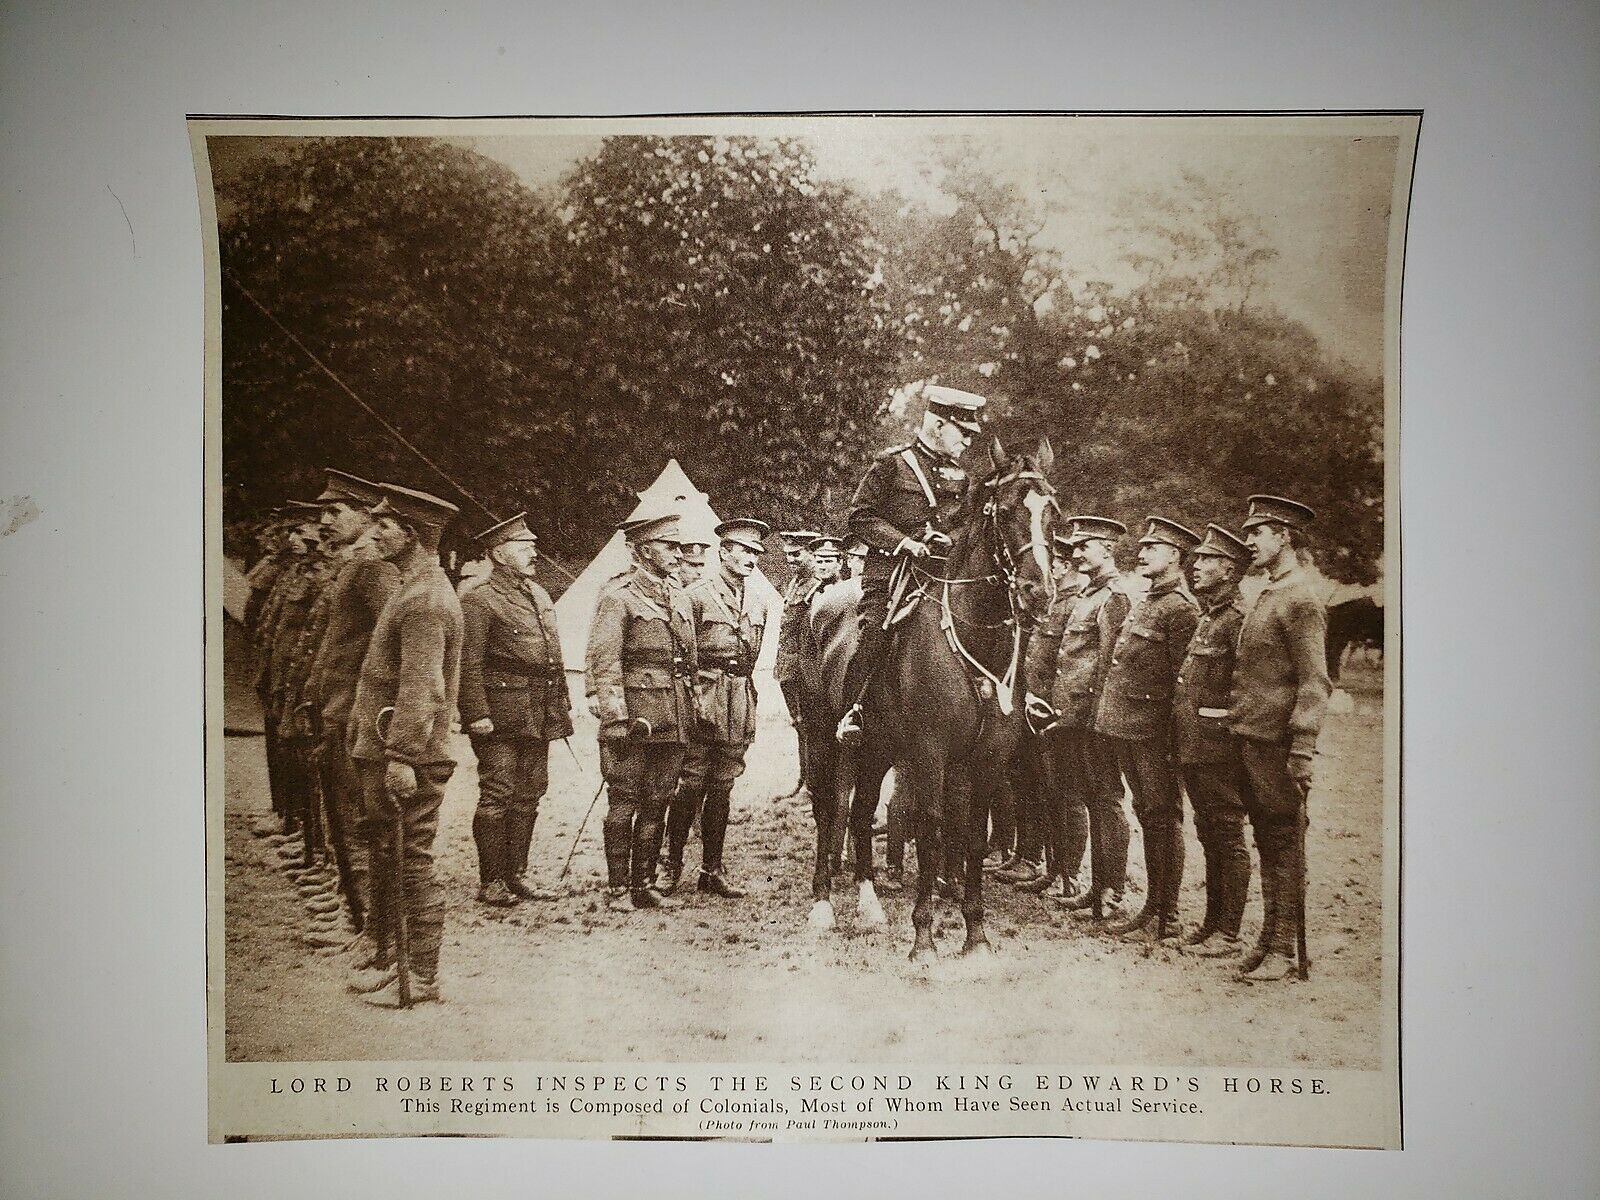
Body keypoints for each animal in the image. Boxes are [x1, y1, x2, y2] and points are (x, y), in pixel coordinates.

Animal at [819, 438, 1056, 960]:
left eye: (1054, 514)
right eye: (1005, 512)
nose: (1040, 594)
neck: (974, 634)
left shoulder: (985, 759)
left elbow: (971, 835)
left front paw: (976, 935)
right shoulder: (930, 753)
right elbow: (929, 828)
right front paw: (924, 939)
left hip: (879, 749)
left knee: (862, 812)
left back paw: (869, 904)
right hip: (830, 742)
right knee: (833, 809)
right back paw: (821, 904)